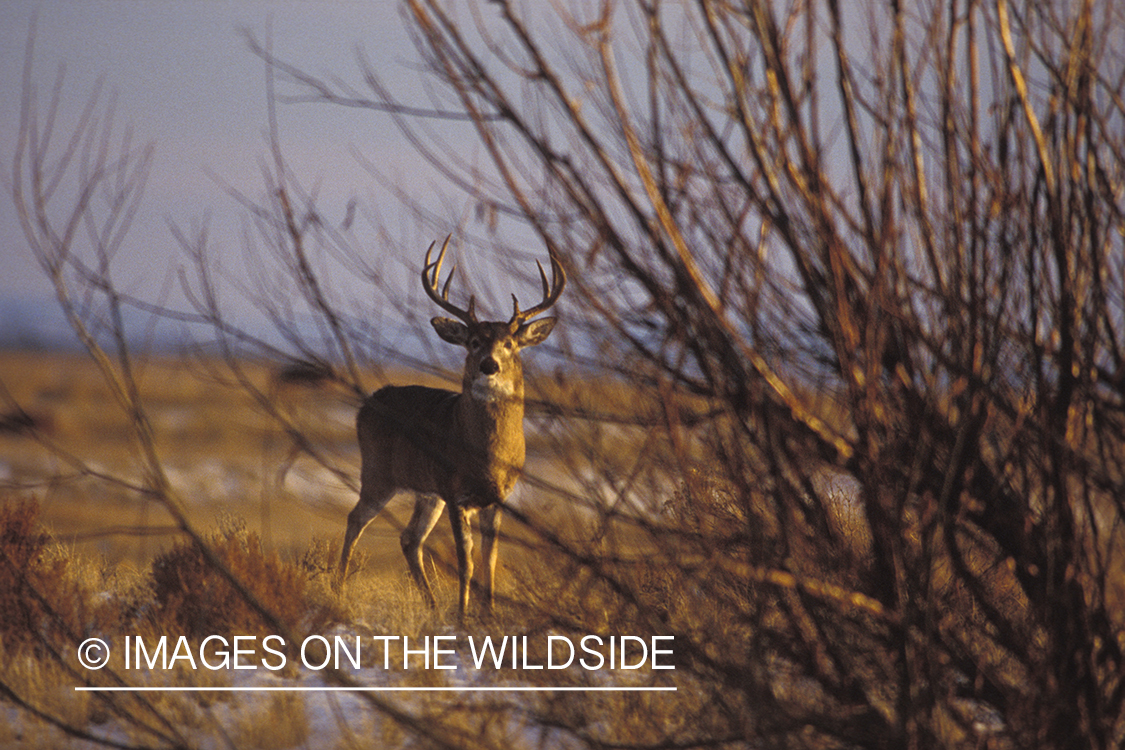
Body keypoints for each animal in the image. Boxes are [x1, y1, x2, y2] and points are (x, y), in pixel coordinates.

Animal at [333, 236, 562, 620]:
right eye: (473, 342)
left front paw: (488, 613)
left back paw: (431, 602)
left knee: (410, 538)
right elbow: (465, 561)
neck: (487, 457)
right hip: (379, 473)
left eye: (510, 343)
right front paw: (463, 615)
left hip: (427, 492)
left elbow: (490, 558)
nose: (489, 365)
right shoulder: (456, 492)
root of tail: (368, 402)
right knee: (355, 520)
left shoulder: (498, 497)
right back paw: (338, 589)